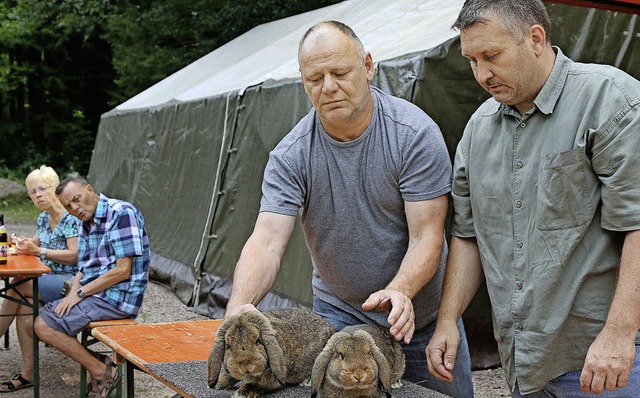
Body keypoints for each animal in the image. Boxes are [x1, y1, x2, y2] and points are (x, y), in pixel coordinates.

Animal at [208, 308, 336, 398]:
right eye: (228, 345)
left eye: (258, 341)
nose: (246, 366)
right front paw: (220, 382)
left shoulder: (271, 378)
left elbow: (258, 385)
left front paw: (241, 394)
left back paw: (307, 381)